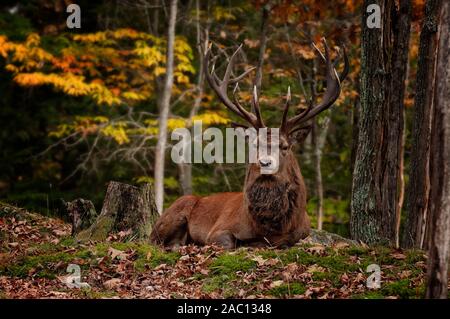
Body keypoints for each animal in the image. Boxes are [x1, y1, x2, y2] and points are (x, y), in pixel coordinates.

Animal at [151, 38, 348, 250]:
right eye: (255, 145)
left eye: (284, 146)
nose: (265, 163)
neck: (269, 228)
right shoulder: (218, 229)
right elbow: (229, 242)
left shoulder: (301, 233)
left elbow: (283, 241)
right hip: (174, 212)